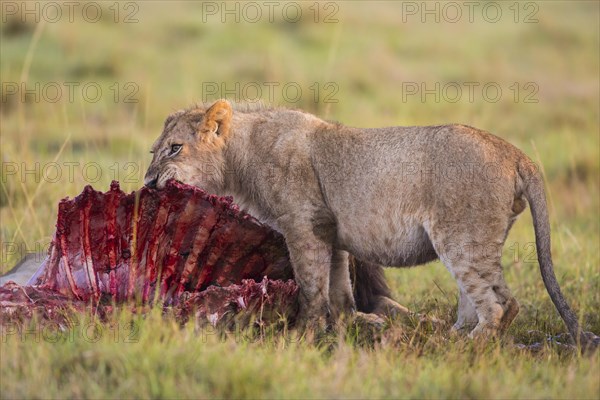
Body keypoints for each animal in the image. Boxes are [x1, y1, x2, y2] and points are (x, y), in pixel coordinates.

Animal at [144, 99, 596, 346]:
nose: (147, 182)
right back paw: (448, 336)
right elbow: (338, 286)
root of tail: (516, 154)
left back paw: (468, 345)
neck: (242, 155)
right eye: (154, 150)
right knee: (493, 299)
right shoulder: (330, 231)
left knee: (499, 304)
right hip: (474, 242)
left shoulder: (304, 225)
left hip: (461, 239)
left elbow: (311, 287)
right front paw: (348, 325)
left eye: (174, 148)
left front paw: (302, 336)